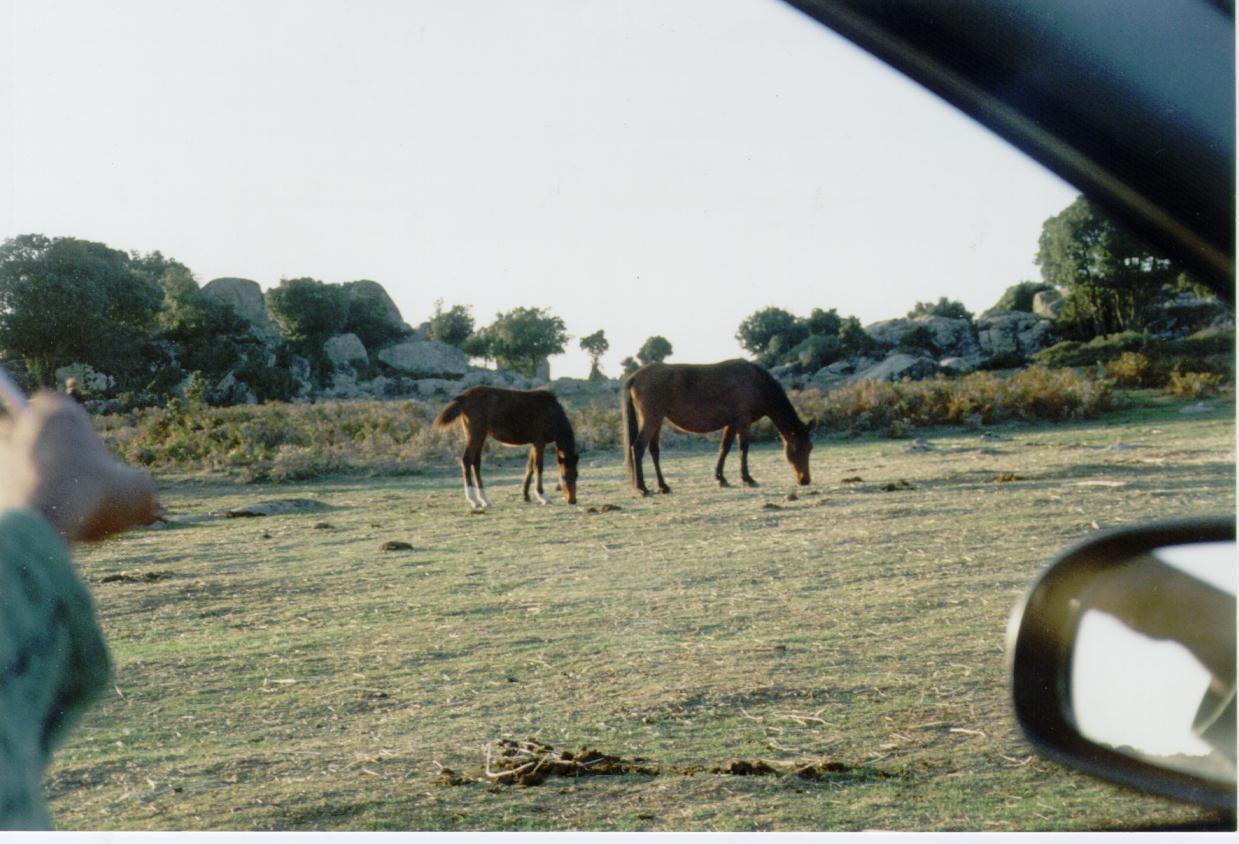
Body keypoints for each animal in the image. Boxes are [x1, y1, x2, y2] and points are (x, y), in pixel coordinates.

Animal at [433, 386, 579, 509]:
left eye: (577, 475)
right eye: (564, 476)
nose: (572, 500)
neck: (550, 411)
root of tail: (464, 397)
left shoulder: (534, 443)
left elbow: (530, 467)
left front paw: (526, 495)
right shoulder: (540, 442)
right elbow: (539, 467)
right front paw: (543, 497)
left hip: (481, 436)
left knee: (476, 463)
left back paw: (484, 499)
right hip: (475, 434)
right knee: (466, 461)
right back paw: (474, 500)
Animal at [621, 359, 815, 495]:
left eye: (810, 448)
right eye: (796, 449)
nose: (805, 480)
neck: (755, 381)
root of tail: (635, 376)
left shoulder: (731, 423)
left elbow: (725, 448)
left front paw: (720, 478)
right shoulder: (743, 421)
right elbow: (743, 448)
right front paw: (747, 478)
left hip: (657, 421)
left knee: (654, 450)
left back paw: (663, 486)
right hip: (652, 419)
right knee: (638, 447)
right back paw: (642, 488)